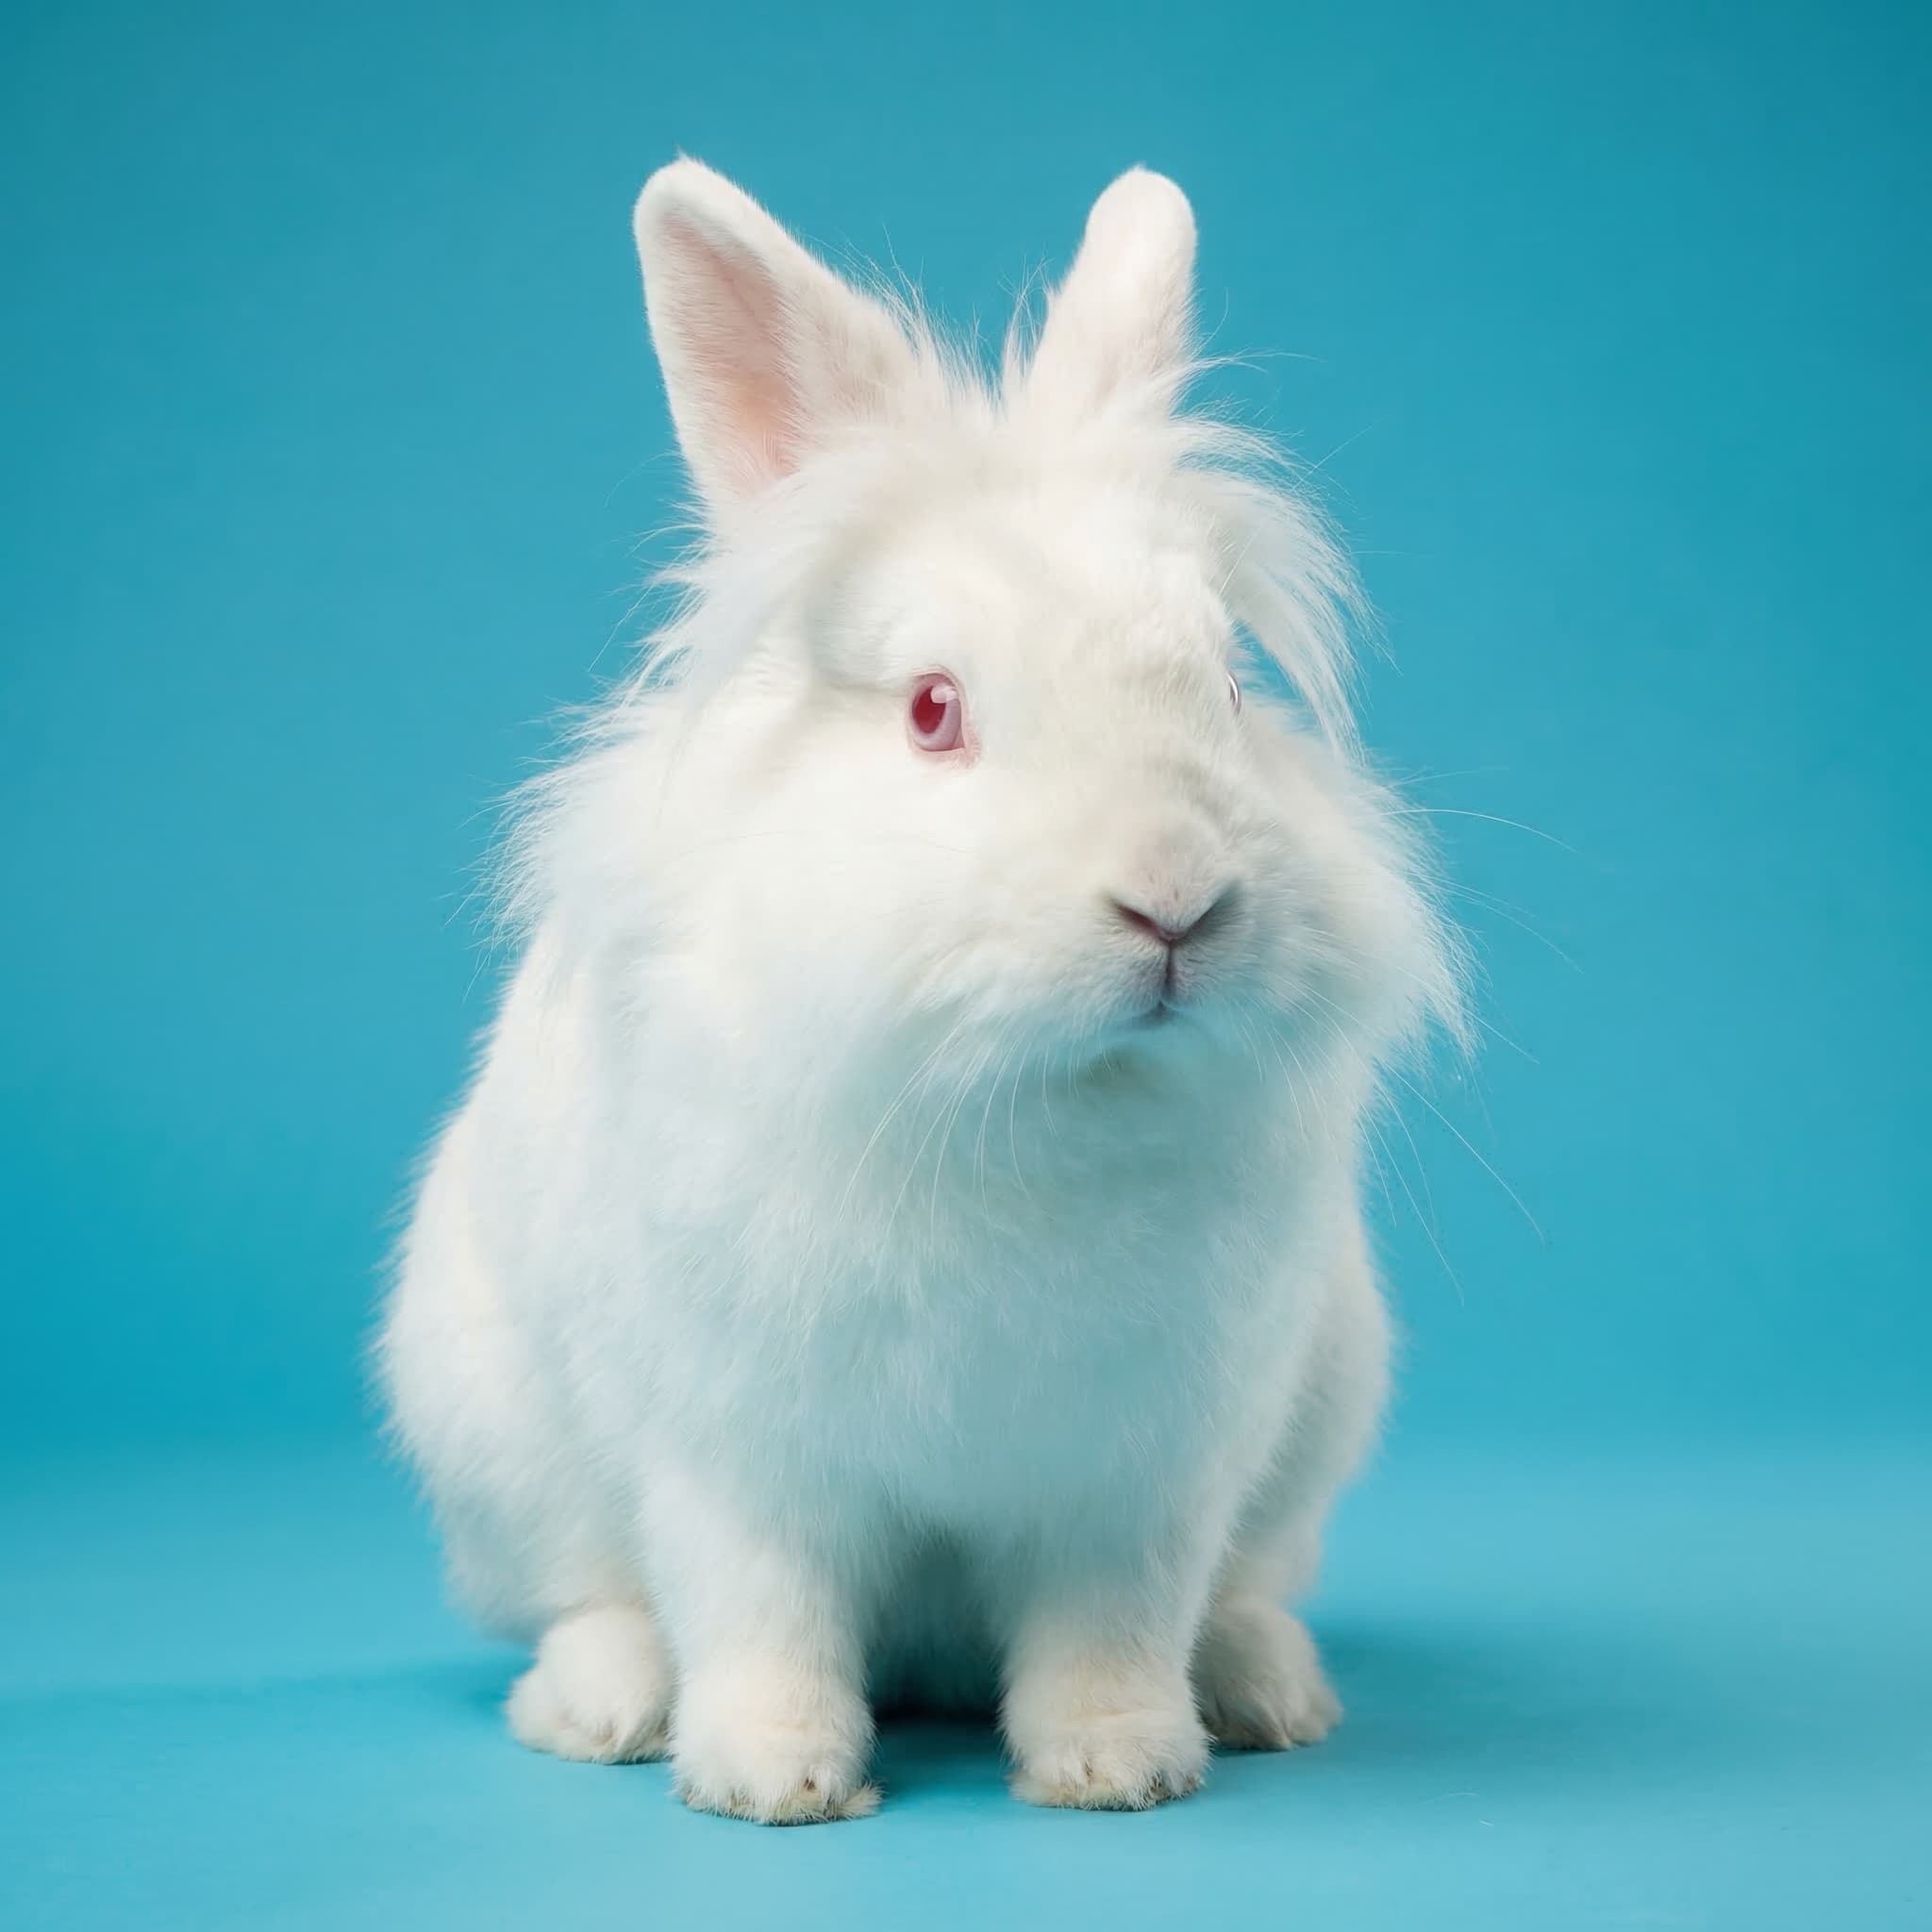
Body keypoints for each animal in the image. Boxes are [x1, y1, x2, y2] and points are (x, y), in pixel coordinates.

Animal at [379, 158, 1464, 1824]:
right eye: (934, 711)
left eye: (1228, 686)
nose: (1176, 901)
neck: (1029, 1104)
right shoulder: (734, 1454)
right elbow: (758, 1607)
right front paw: (773, 1781)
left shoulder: (1143, 1472)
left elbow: (1113, 1622)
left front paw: (1116, 1767)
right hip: (492, 1432)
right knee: (594, 1597)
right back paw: (603, 1707)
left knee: (1237, 1592)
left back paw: (1266, 1691)